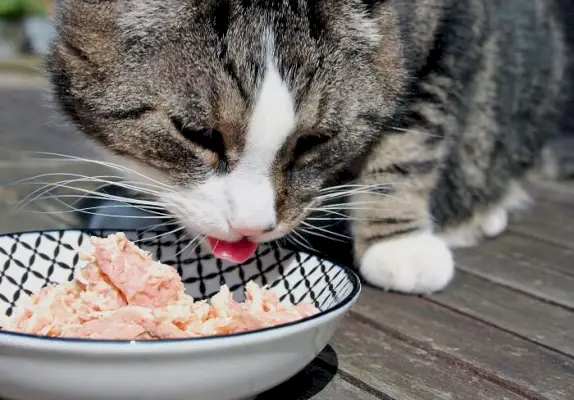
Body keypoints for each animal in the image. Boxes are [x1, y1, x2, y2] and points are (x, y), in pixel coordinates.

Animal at [46, 0, 574, 294]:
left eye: (314, 141)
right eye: (198, 135)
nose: (251, 227)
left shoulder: (448, 36)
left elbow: (409, 144)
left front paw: (399, 245)